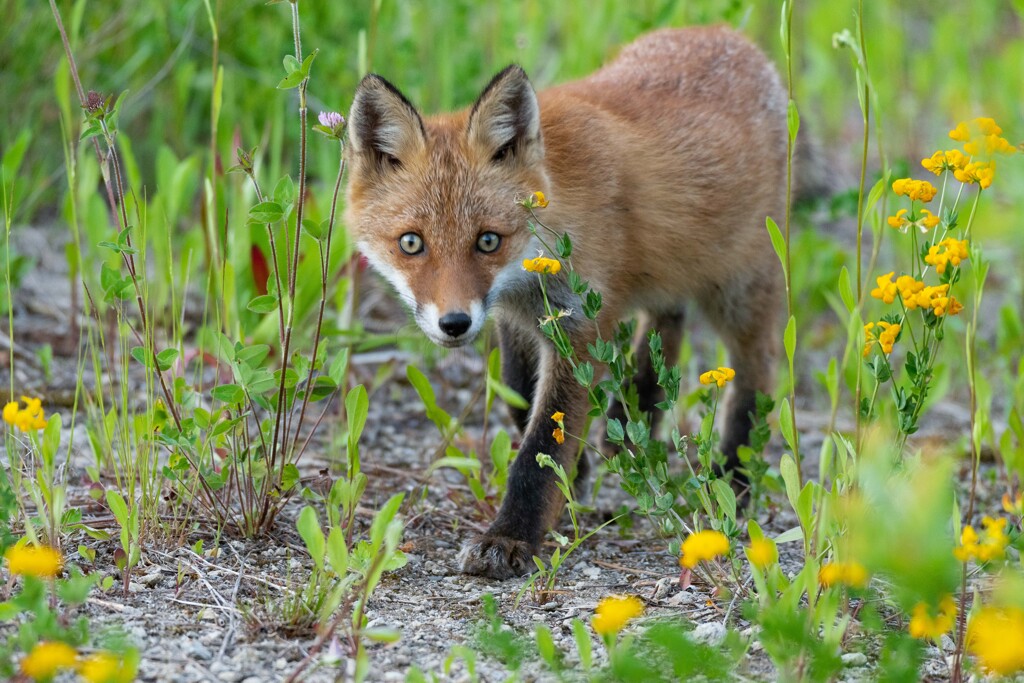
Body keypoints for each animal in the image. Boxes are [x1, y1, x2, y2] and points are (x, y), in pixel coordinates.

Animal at [346, 28, 790, 581]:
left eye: (487, 241)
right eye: (411, 243)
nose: (455, 323)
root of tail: (730, 36)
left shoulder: (578, 329)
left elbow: (541, 446)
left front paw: (510, 537)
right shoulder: (518, 317)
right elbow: (520, 398)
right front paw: (575, 476)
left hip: (739, 289)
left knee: (755, 372)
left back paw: (733, 476)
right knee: (666, 319)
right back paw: (634, 417)